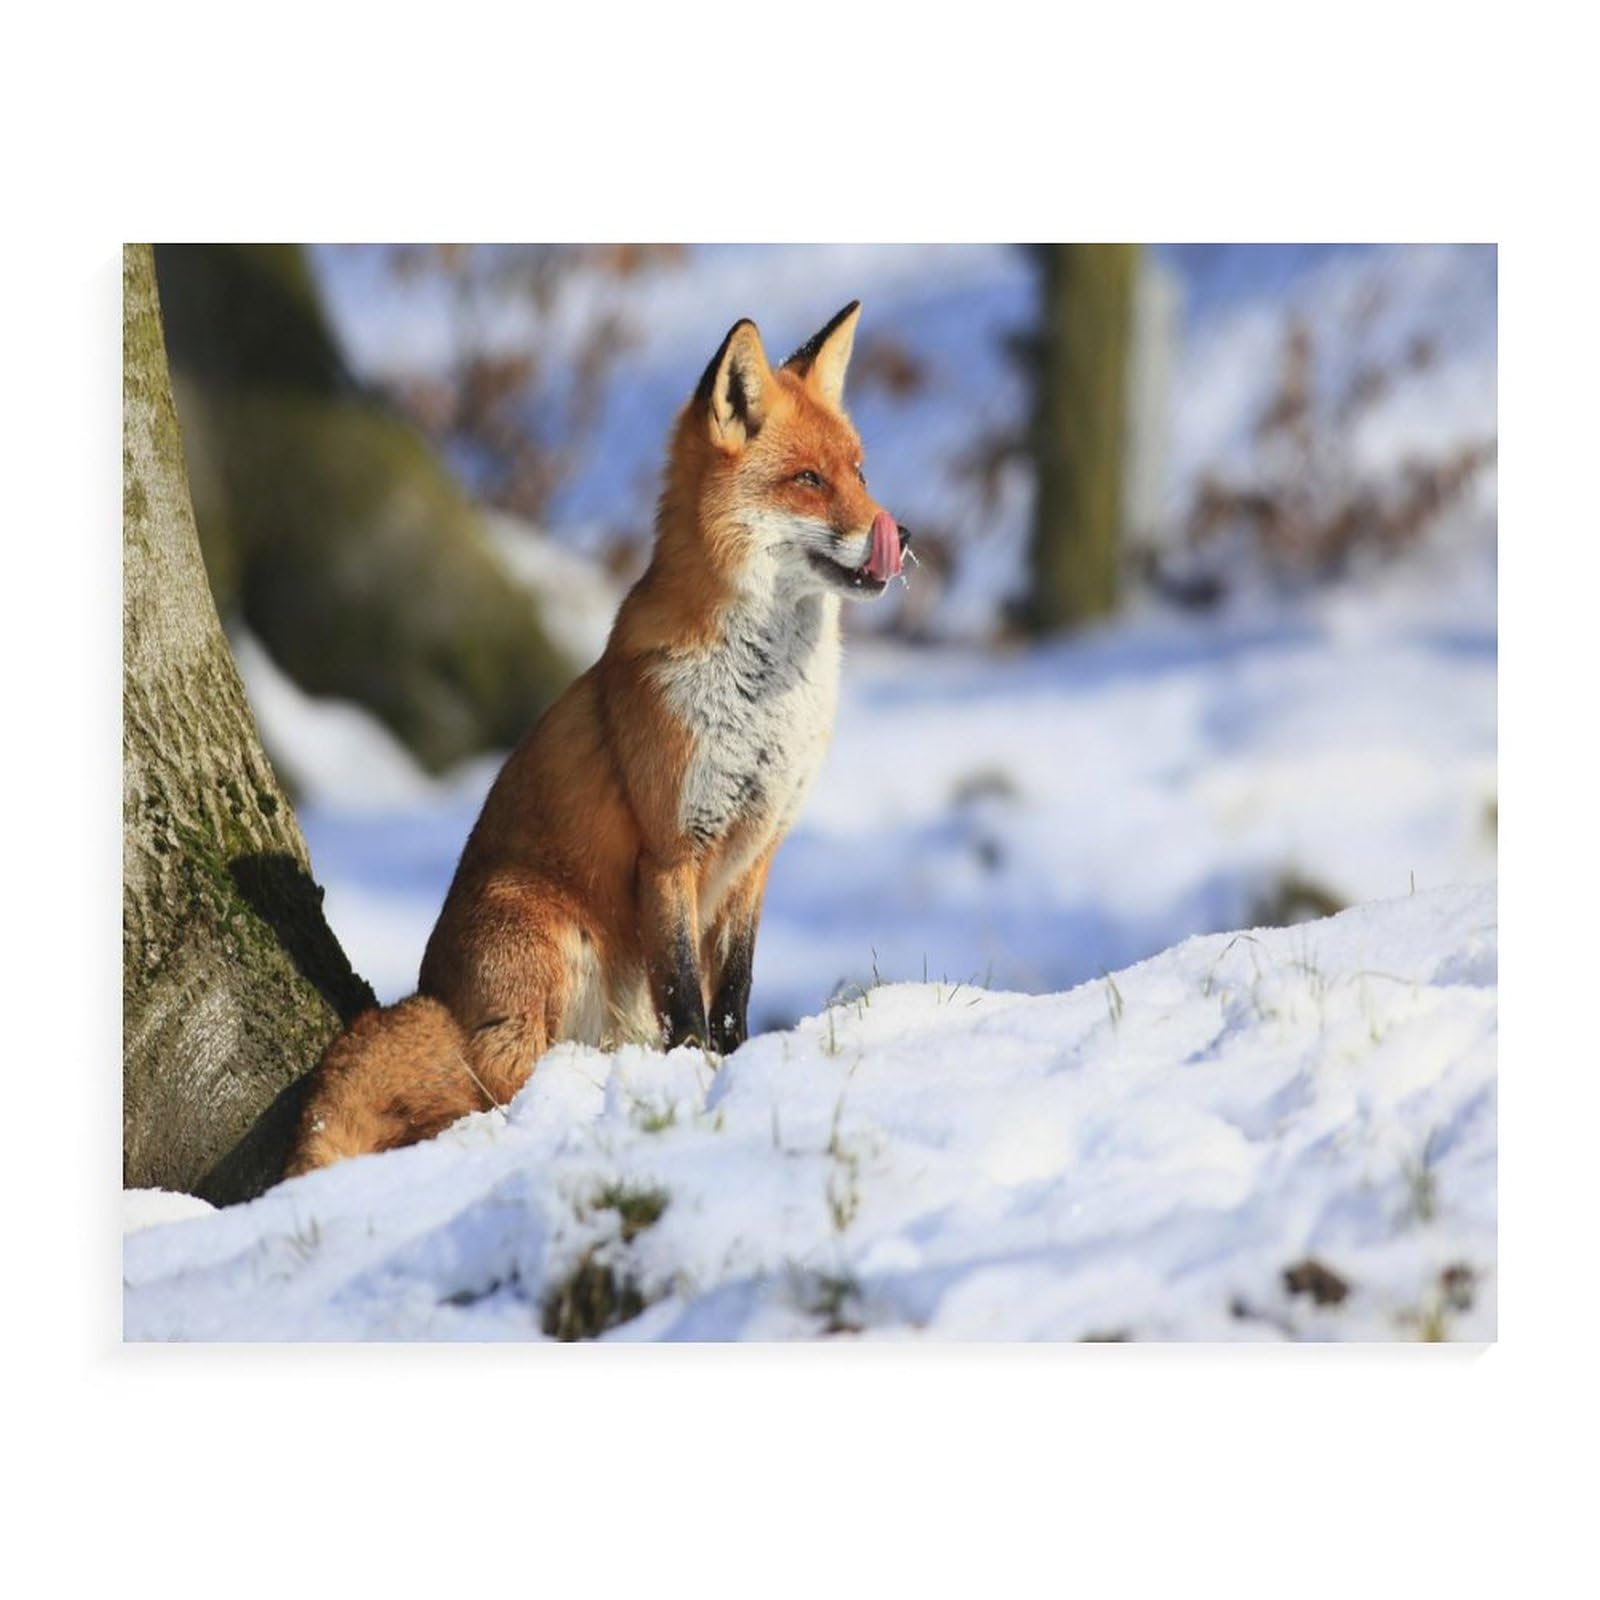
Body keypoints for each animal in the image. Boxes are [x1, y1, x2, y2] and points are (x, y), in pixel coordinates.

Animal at [285, 301, 909, 1176]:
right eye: (809, 481)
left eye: (859, 472)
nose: (901, 535)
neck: (763, 703)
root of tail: (436, 990)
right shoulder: (671, 847)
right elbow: (686, 995)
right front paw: (696, 1079)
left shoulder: (758, 853)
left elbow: (733, 995)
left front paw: (738, 1065)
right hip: (551, 942)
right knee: (493, 1084)